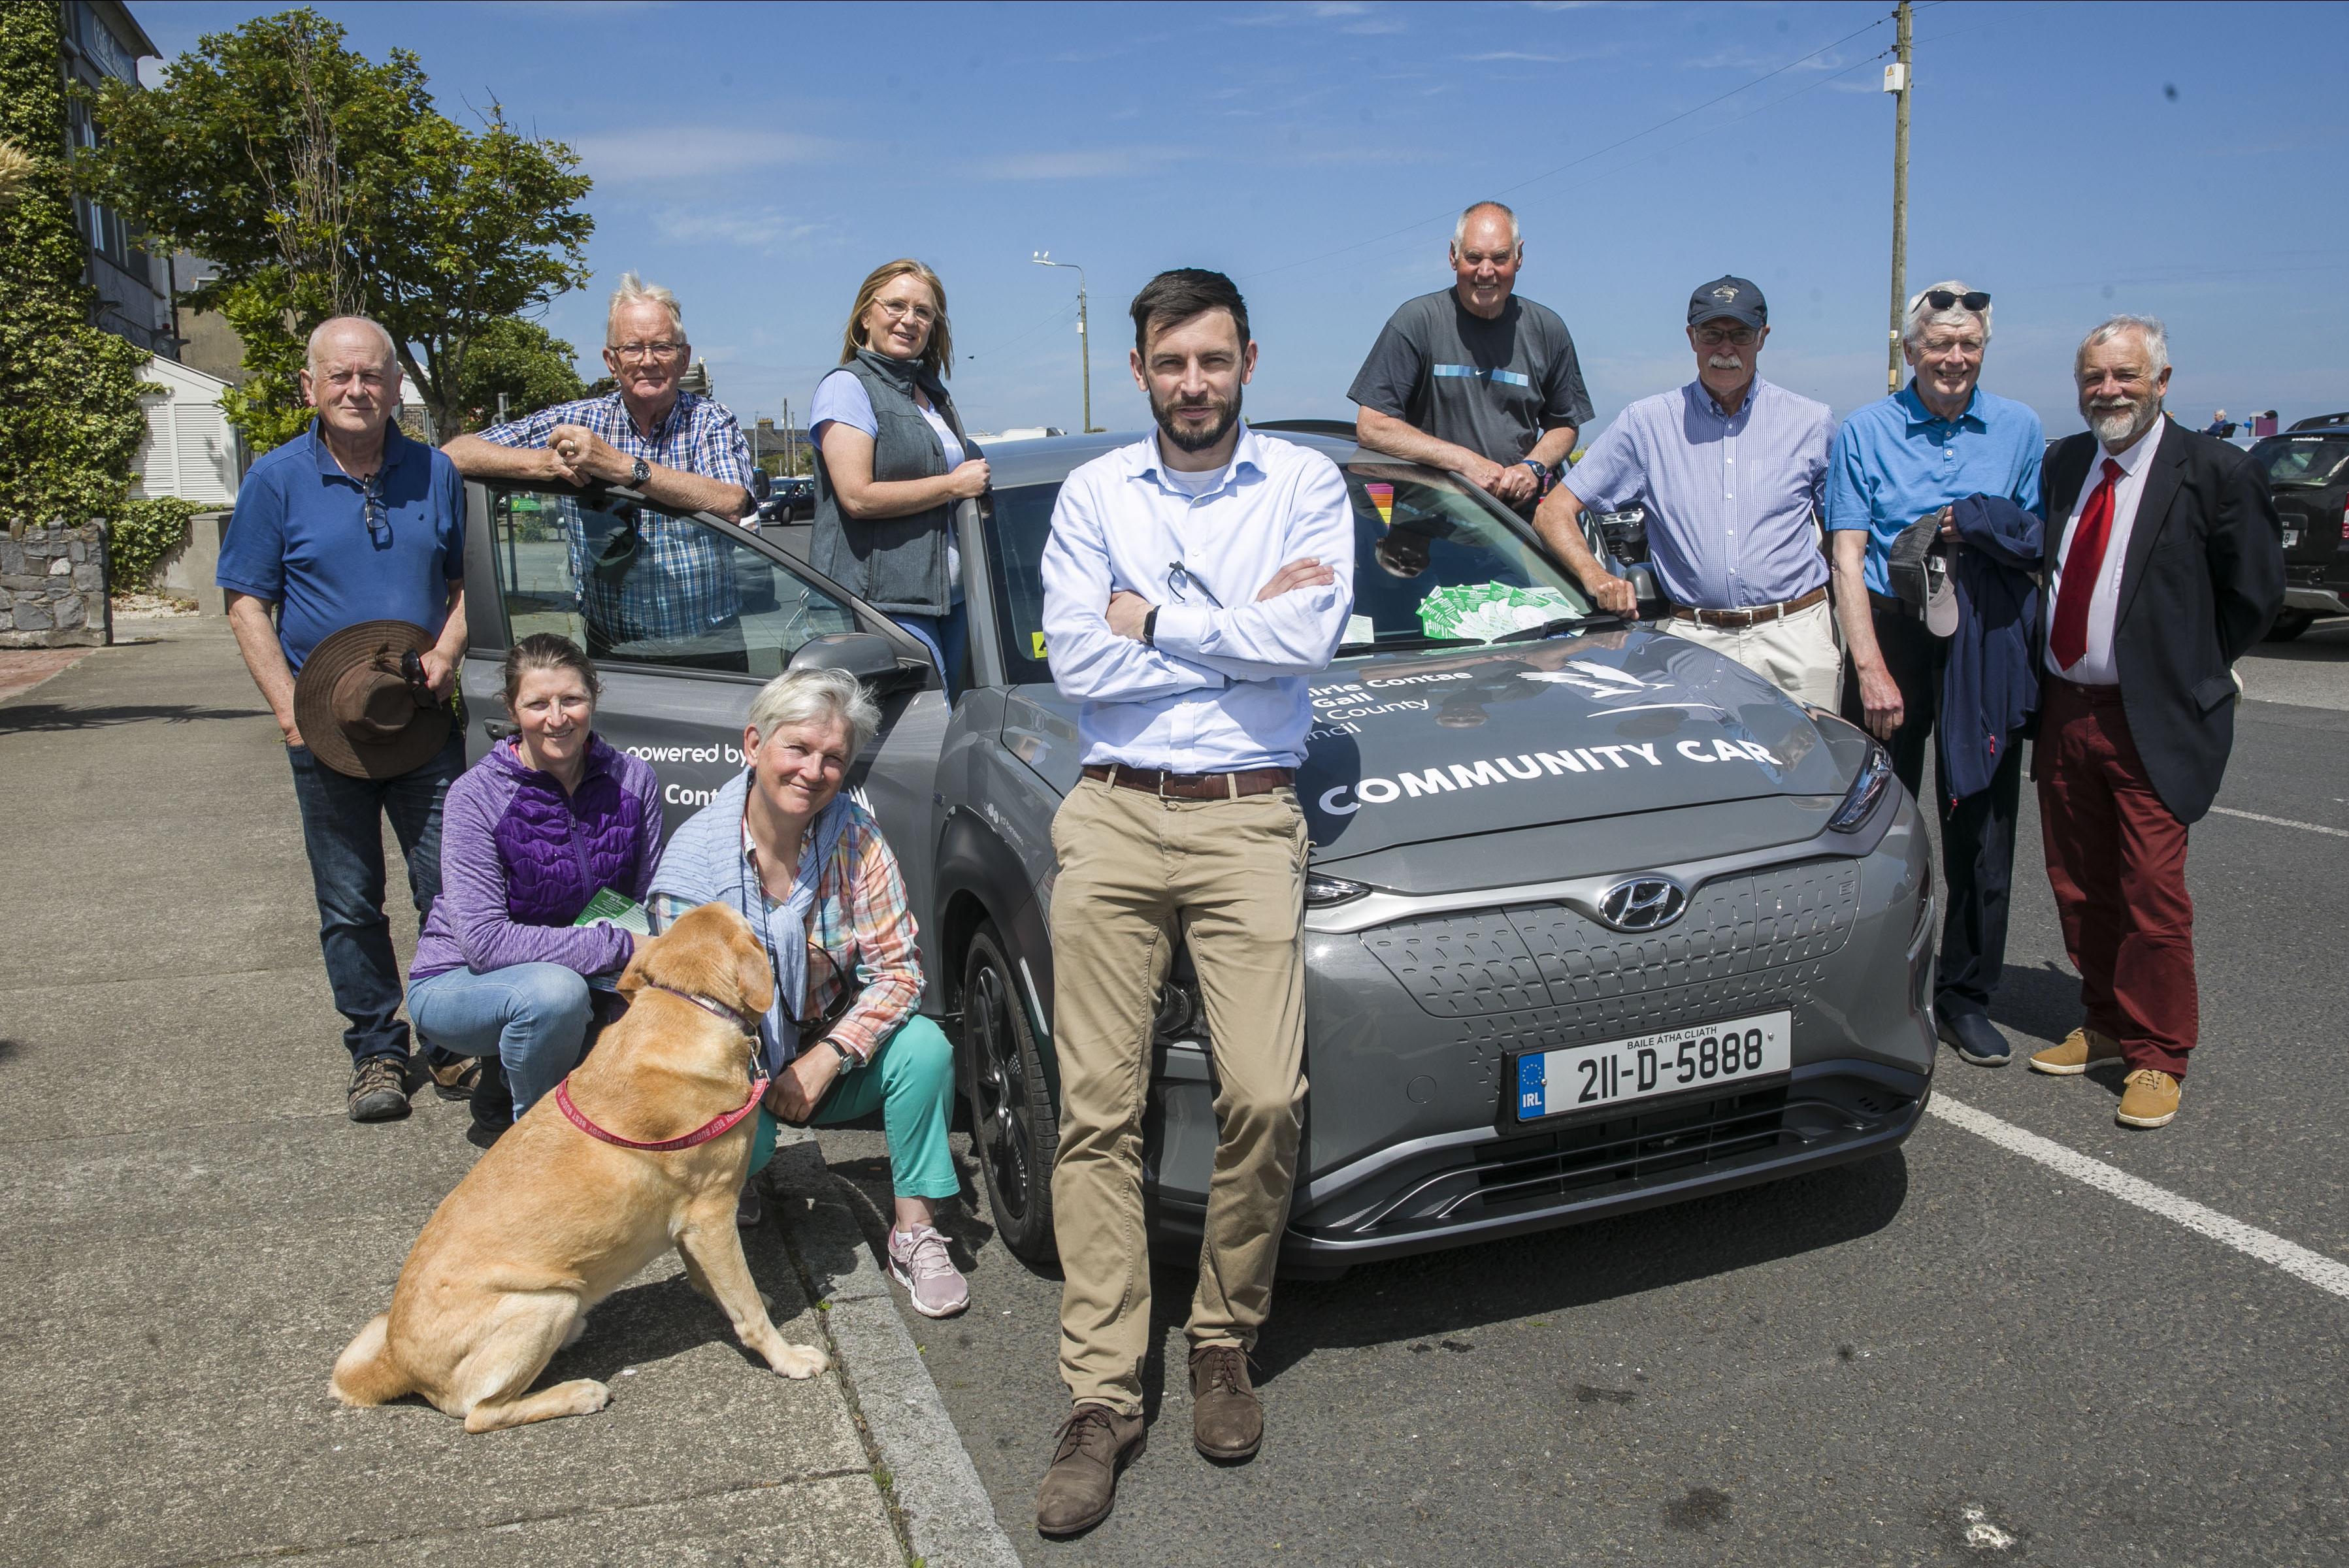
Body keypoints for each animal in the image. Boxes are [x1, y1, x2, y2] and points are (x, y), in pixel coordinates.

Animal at [331, 901, 827, 1427]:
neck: (688, 1007)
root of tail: (396, 1362)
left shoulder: (691, 1226)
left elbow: (713, 1283)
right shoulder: (711, 1215)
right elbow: (748, 1307)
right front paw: (786, 1357)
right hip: (546, 1303)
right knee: (480, 1413)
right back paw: (578, 1393)